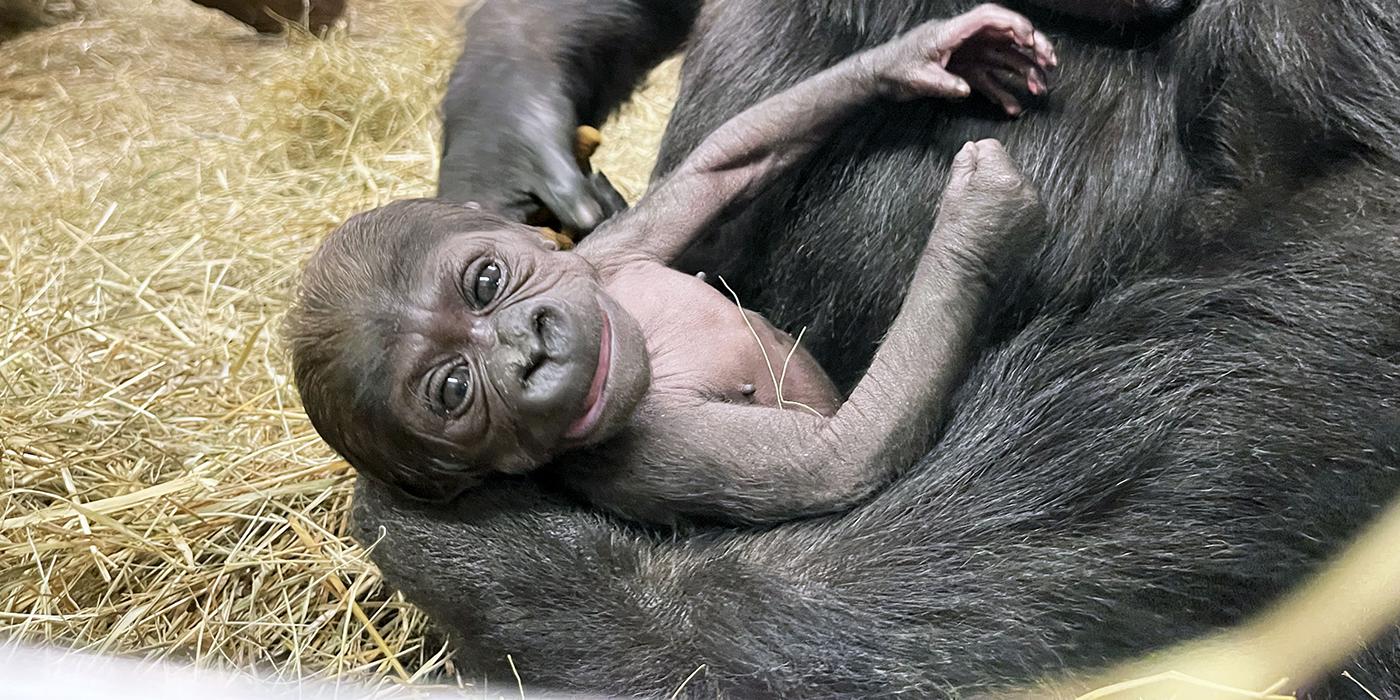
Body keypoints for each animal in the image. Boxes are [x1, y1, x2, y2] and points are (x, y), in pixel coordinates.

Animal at [295, 2, 1052, 523]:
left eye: (486, 281)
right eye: (455, 389)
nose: (528, 347)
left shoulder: (610, 254)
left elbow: (721, 164)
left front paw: (920, 55)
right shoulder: (646, 453)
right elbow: (840, 457)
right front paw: (979, 225)